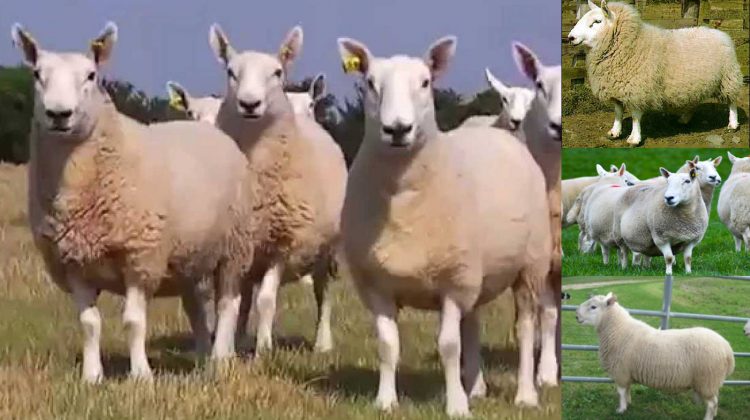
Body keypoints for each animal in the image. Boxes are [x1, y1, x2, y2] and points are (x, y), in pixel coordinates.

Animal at [11, 21, 256, 382]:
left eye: (91, 75)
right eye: (37, 74)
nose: (59, 113)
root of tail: (215, 133)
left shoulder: (140, 256)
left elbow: (133, 322)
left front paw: (141, 375)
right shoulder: (74, 262)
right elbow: (89, 324)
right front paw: (92, 377)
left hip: (233, 247)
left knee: (228, 303)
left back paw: (220, 360)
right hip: (189, 254)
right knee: (196, 307)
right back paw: (201, 356)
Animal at [209, 24, 350, 356]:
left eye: (277, 72)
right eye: (231, 72)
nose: (249, 103)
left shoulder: (282, 244)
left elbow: (266, 300)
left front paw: (263, 349)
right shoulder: (239, 244)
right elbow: (236, 300)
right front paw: (234, 344)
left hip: (326, 249)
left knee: (324, 293)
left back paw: (322, 343)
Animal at [338, 34, 556, 416]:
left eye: (426, 82)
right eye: (370, 83)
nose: (397, 129)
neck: (403, 203)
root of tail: (504, 136)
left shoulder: (453, 283)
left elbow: (449, 346)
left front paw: (455, 406)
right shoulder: (375, 284)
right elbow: (387, 345)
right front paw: (385, 401)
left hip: (530, 264)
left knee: (527, 328)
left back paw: (526, 393)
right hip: (476, 272)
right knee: (474, 324)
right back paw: (476, 387)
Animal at [568, 1, 748, 145]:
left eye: (597, 21)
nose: (570, 38)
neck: (630, 44)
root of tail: (721, 34)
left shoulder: (637, 89)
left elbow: (635, 116)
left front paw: (634, 138)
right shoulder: (617, 88)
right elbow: (618, 112)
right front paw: (614, 132)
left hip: (728, 77)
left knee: (732, 102)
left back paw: (733, 124)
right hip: (696, 82)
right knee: (694, 100)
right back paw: (684, 119)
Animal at [580, 292, 736, 420]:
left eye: (593, 307)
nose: (577, 316)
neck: (617, 330)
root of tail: (727, 349)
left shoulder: (621, 372)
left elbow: (621, 393)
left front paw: (621, 409)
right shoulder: (627, 373)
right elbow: (627, 391)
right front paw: (629, 404)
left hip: (707, 380)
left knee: (712, 403)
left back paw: (708, 418)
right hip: (710, 381)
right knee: (715, 400)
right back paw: (714, 414)